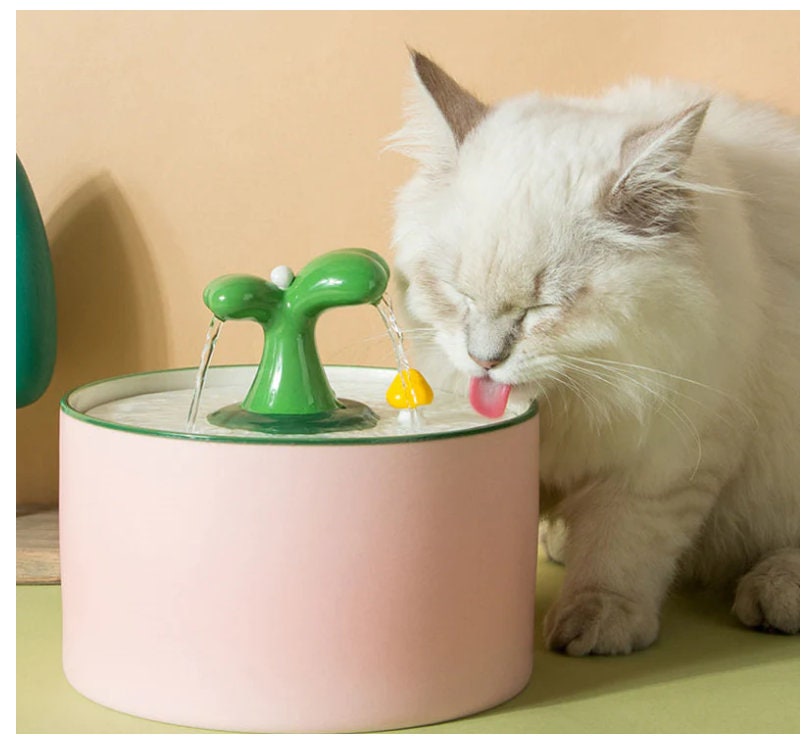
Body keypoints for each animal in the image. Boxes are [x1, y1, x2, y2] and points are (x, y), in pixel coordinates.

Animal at [390, 49, 804, 652]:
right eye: (458, 294)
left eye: (540, 308)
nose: (485, 359)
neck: (570, 400)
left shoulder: (669, 454)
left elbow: (621, 548)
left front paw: (595, 623)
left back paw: (777, 592)